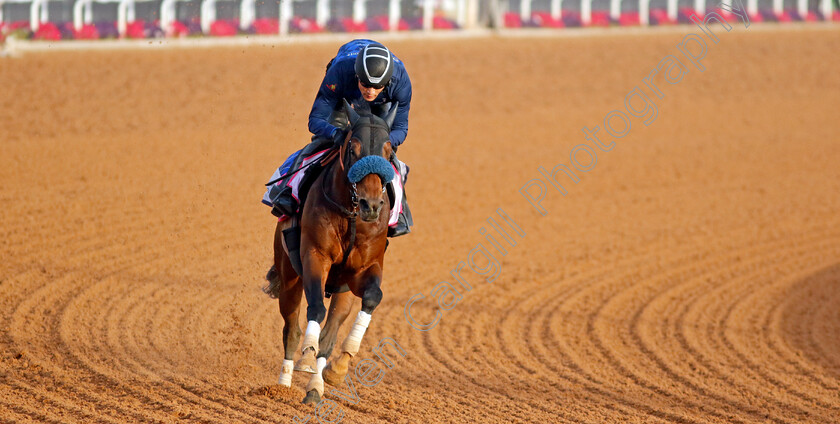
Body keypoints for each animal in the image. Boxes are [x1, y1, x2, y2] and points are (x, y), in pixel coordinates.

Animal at [266, 99, 398, 404]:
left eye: (388, 152)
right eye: (352, 149)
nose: (371, 205)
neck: (350, 215)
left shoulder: (364, 269)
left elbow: (372, 297)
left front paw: (339, 367)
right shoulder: (315, 257)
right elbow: (315, 308)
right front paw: (306, 356)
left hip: (343, 290)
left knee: (330, 333)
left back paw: (315, 387)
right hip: (289, 275)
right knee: (291, 329)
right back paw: (283, 384)